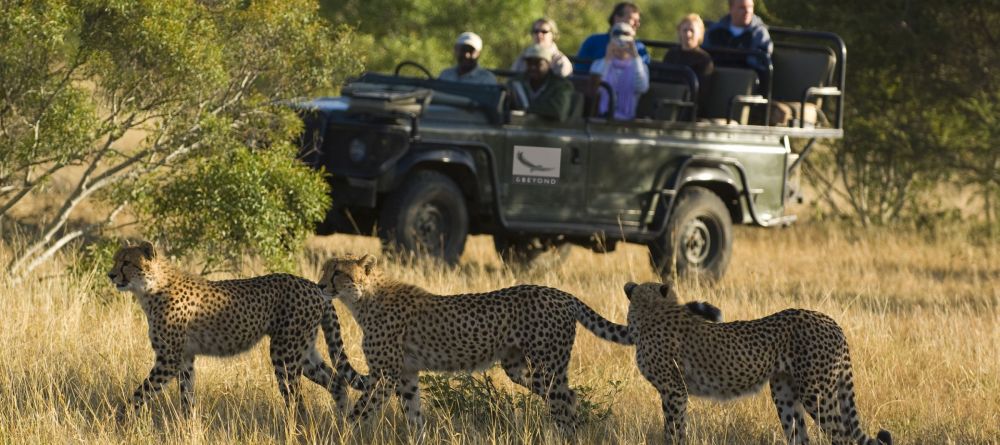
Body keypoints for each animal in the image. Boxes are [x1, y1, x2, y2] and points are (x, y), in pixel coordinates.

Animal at [107, 241, 366, 418]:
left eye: (126, 263)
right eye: (115, 260)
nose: (110, 274)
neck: (151, 287)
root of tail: (314, 285)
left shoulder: (168, 360)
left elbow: (139, 393)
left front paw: (118, 420)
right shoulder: (185, 358)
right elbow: (187, 397)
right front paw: (188, 427)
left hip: (284, 354)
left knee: (297, 401)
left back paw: (297, 429)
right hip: (303, 351)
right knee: (337, 382)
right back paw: (342, 423)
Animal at [316, 255, 632, 432]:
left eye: (338, 273)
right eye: (323, 270)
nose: (320, 285)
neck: (364, 299)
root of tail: (562, 294)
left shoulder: (385, 375)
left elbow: (359, 413)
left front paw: (342, 434)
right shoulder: (405, 375)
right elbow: (414, 415)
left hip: (547, 368)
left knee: (563, 407)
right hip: (519, 368)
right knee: (571, 398)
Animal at [624, 280, 892, 444]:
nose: (629, 285)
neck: (650, 312)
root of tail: (830, 320)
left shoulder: (675, 391)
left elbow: (673, 429)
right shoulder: (675, 391)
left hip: (817, 394)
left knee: (842, 436)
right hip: (785, 392)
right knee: (800, 436)